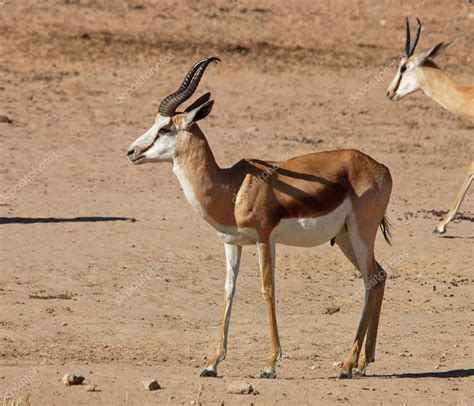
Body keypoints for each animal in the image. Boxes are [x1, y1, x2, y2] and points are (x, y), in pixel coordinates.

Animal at [126, 56, 392, 378]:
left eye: (165, 128)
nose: (132, 151)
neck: (232, 187)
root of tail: (380, 167)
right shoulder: (232, 243)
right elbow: (228, 291)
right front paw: (211, 364)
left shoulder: (265, 239)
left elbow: (268, 289)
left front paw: (270, 365)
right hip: (344, 238)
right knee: (378, 276)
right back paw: (363, 363)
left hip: (360, 232)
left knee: (370, 280)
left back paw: (348, 364)